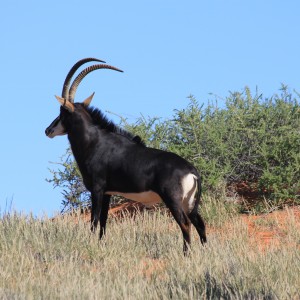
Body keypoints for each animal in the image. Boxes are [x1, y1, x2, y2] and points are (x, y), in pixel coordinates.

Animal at [45, 58, 206, 253]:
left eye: (62, 112)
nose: (48, 130)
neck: (96, 142)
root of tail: (192, 172)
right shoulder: (108, 193)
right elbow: (104, 222)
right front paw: (101, 246)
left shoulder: (97, 189)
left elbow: (94, 221)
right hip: (188, 203)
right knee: (200, 224)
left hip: (173, 200)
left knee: (185, 224)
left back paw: (186, 254)